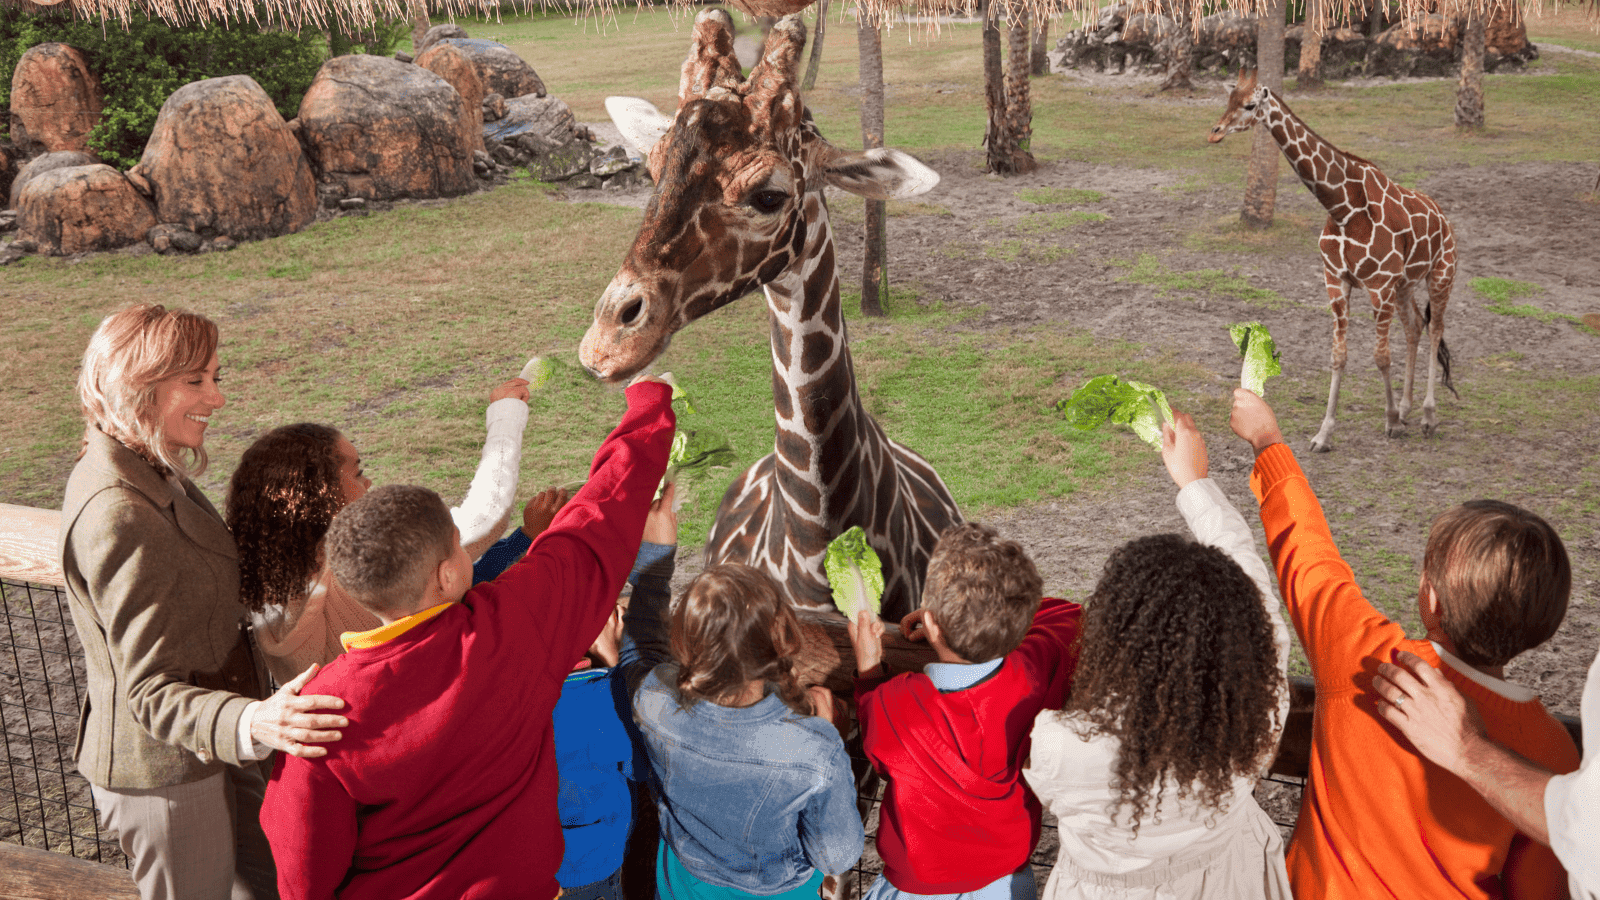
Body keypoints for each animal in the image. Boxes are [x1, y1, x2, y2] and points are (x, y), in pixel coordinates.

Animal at [1209, 68, 1457, 452]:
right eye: (1228, 100)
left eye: (1249, 105)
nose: (1215, 132)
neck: (1342, 207)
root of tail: (1444, 218)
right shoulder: (1337, 280)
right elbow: (1338, 355)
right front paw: (1324, 434)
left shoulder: (1378, 284)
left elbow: (1380, 355)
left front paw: (1390, 423)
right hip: (1404, 285)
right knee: (1415, 327)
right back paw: (1406, 408)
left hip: (1441, 274)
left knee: (1435, 330)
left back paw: (1428, 417)